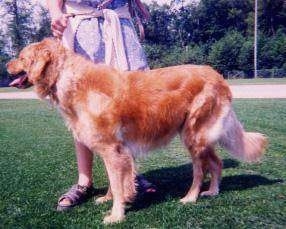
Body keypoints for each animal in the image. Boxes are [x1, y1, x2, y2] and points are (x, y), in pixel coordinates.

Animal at [6, 38, 266, 224]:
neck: (71, 80)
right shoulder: (113, 150)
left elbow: (118, 183)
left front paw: (116, 215)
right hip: (200, 137)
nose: (6, 64)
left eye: (21, 57)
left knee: (200, 171)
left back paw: (190, 197)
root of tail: (218, 76)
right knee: (217, 162)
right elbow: (114, 182)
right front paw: (108, 199)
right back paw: (212, 191)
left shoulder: (113, 150)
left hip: (193, 136)